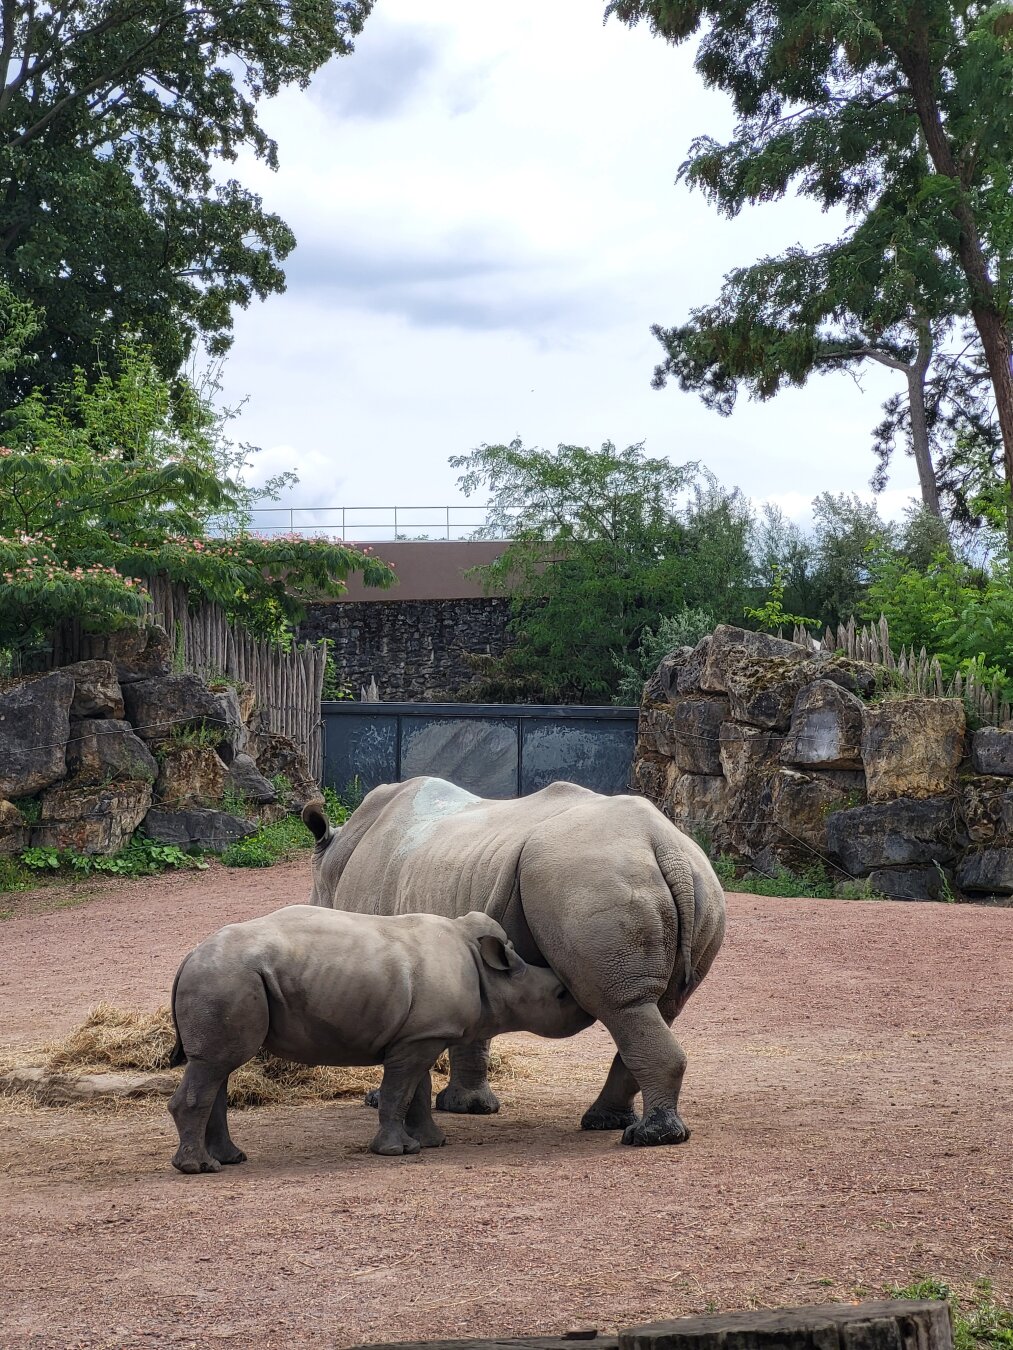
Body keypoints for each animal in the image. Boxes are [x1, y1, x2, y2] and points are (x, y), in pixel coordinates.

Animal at [167, 905, 590, 1173]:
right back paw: (200, 1168)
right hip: (226, 978)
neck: (492, 976)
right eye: (560, 995)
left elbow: (416, 1090)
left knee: (217, 1066)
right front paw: (395, 1151)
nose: (588, 1010)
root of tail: (188, 957)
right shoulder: (421, 1037)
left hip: (225, 978)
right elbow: (398, 1092)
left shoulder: (421, 1033)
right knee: (217, 1064)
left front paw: (431, 1142)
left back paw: (230, 1159)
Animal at [303, 776, 726, 1146]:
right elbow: (475, 1028)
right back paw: (607, 1122)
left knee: (621, 1005)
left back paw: (647, 1136)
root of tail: (664, 846)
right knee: (658, 1008)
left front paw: (377, 1098)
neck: (337, 858)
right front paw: (468, 1107)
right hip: (694, 886)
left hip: (586, 880)